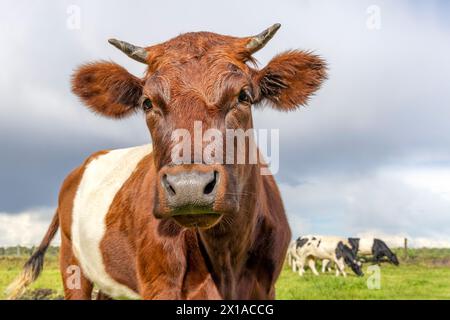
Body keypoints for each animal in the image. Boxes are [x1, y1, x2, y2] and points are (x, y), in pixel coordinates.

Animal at [7, 24, 326, 300]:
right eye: (147, 103)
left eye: (244, 96)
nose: (189, 186)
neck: (227, 257)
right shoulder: (159, 285)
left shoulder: (266, 286)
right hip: (72, 264)